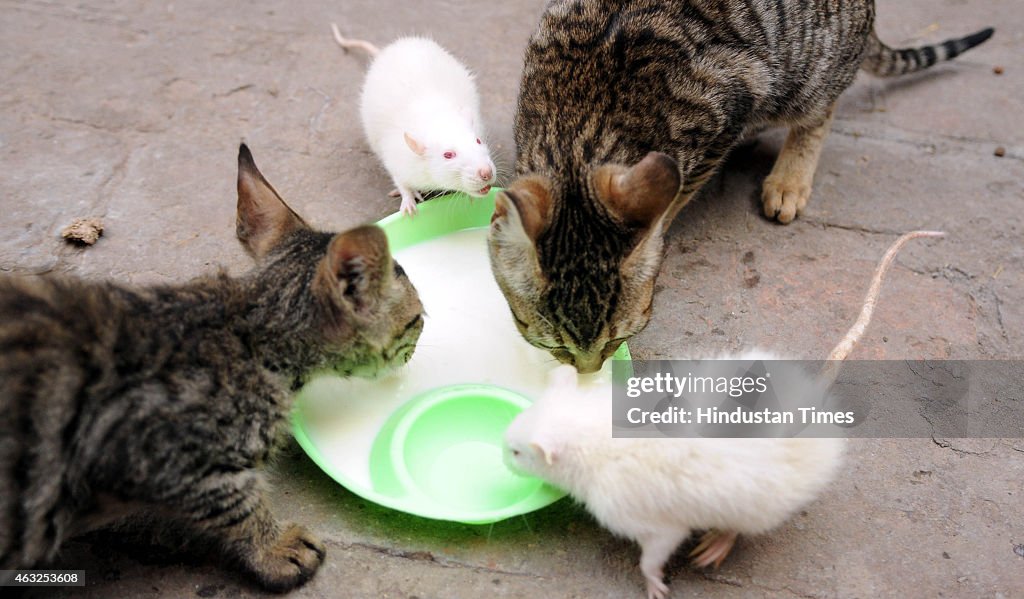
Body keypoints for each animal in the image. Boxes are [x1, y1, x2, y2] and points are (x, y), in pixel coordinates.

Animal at [0, 143, 423, 589]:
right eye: (417, 319)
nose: (419, 341)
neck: (246, 329)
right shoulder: (173, 461)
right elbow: (236, 505)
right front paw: (276, 548)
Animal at [487, 0, 991, 370]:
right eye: (555, 346)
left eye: (621, 339)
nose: (588, 371)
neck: (579, 131)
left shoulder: (732, 100)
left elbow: (680, 192)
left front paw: (662, 233)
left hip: (805, 74)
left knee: (821, 110)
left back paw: (790, 179)